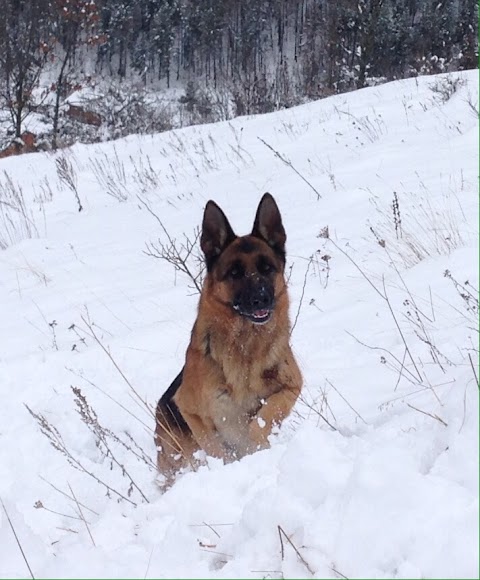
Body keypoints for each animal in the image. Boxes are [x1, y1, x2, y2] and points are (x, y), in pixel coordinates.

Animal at [156, 193, 302, 482]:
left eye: (267, 268)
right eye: (234, 273)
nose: (261, 299)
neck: (246, 346)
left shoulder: (292, 386)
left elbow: (264, 416)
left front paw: (259, 442)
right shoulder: (190, 410)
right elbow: (215, 447)